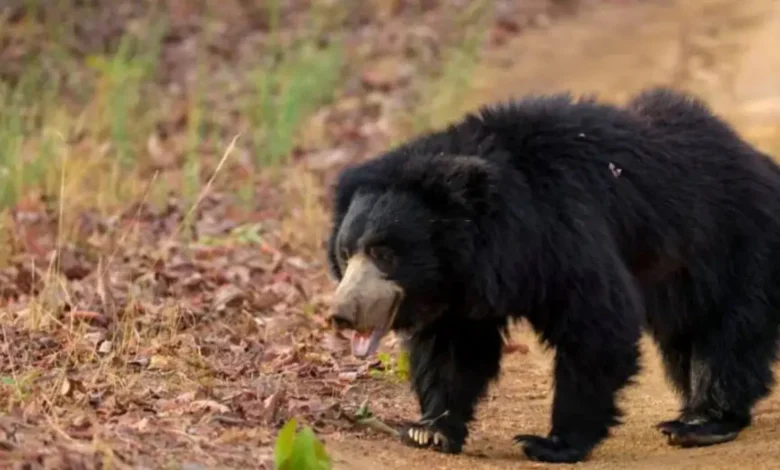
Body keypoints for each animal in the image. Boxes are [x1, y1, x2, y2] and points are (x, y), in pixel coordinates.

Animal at [324, 86, 780, 463]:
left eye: (384, 254)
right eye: (345, 254)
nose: (342, 315)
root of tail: (763, 164)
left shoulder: (563, 230)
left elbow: (597, 322)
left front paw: (552, 443)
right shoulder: (460, 288)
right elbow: (453, 349)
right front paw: (429, 431)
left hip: (735, 247)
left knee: (726, 335)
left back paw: (701, 422)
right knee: (686, 338)